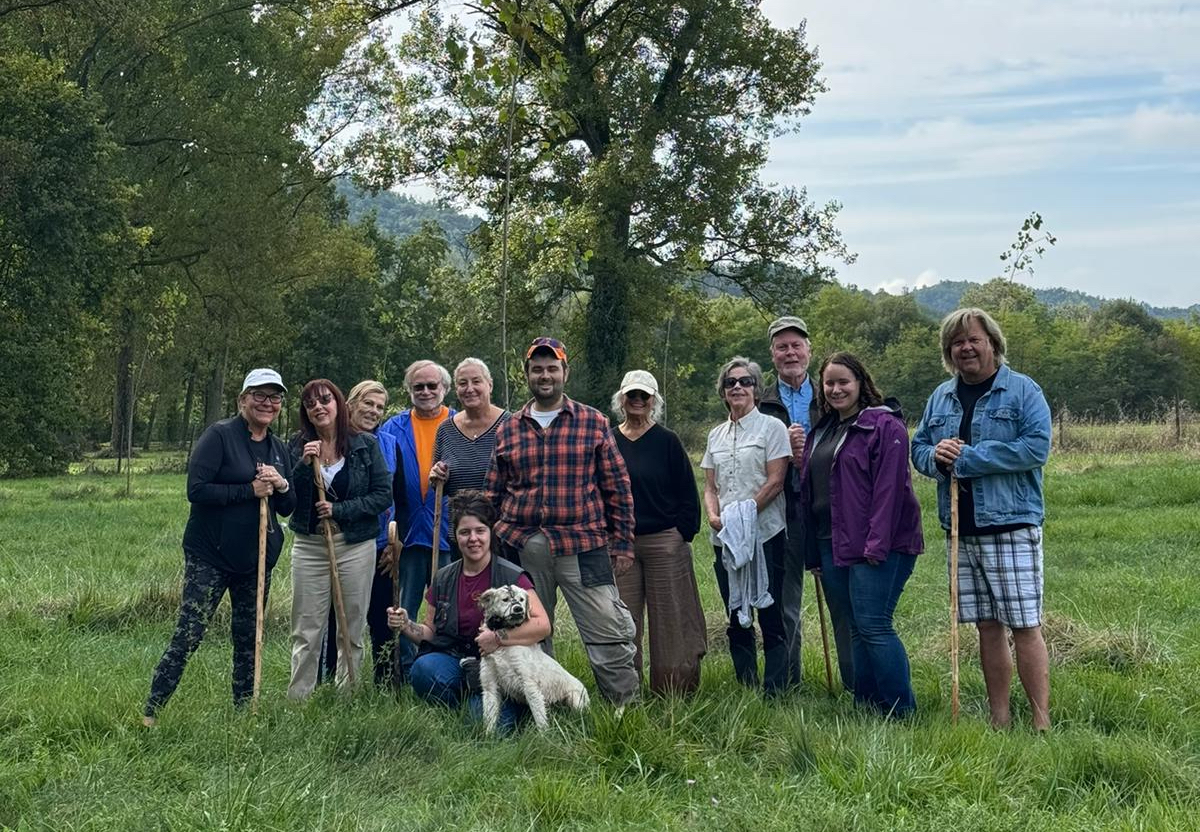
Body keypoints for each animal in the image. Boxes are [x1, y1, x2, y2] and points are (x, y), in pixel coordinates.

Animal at [477, 583, 590, 734]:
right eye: (505, 599)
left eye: (521, 599)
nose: (518, 609)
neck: (503, 648)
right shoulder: (490, 686)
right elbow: (489, 719)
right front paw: (488, 736)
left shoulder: (529, 684)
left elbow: (539, 717)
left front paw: (544, 736)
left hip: (575, 699)